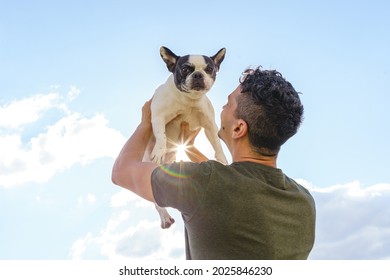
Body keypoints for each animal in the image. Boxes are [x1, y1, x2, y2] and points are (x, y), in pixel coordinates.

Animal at [145, 46, 227, 230]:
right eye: (185, 69)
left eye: (209, 69)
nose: (198, 75)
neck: (188, 100)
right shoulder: (158, 116)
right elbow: (161, 135)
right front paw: (159, 151)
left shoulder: (210, 125)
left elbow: (217, 143)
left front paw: (222, 159)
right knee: (157, 203)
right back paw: (165, 217)